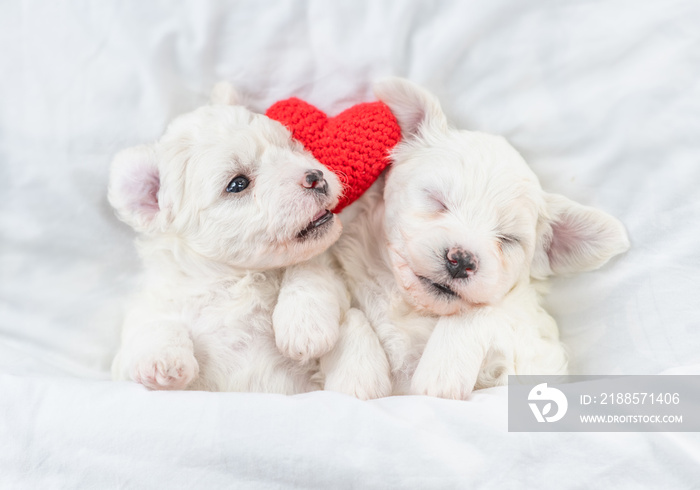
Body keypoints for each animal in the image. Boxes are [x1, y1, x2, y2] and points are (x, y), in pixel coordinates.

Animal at [110, 82, 348, 392]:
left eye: (291, 146)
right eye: (238, 184)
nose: (315, 176)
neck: (236, 279)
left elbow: (310, 267)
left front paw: (304, 323)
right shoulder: (140, 331)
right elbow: (150, 324)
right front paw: (163, 360)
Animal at [330, 78, 632, 400]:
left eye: (508, 239)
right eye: (437, 200)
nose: (462, 260)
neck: (415, 309)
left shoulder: (535, 356)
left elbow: (483, 312)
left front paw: (439, 373)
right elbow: (350, 312)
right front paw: (357, 376)